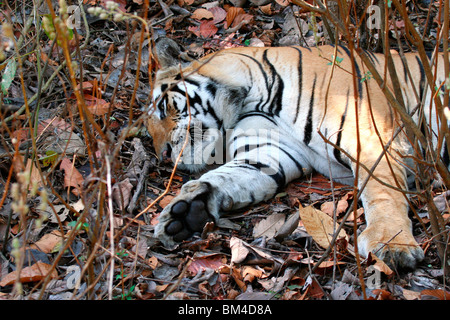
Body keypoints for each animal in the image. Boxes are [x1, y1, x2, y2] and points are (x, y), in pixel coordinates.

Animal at [147, 36, 446, 268]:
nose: (165, 155)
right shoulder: (269, 153)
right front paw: (186, 211)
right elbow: (225, 177)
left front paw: (392, 243)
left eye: (161, 108)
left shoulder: (372, 137)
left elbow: (382, 192)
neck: (252, 97)